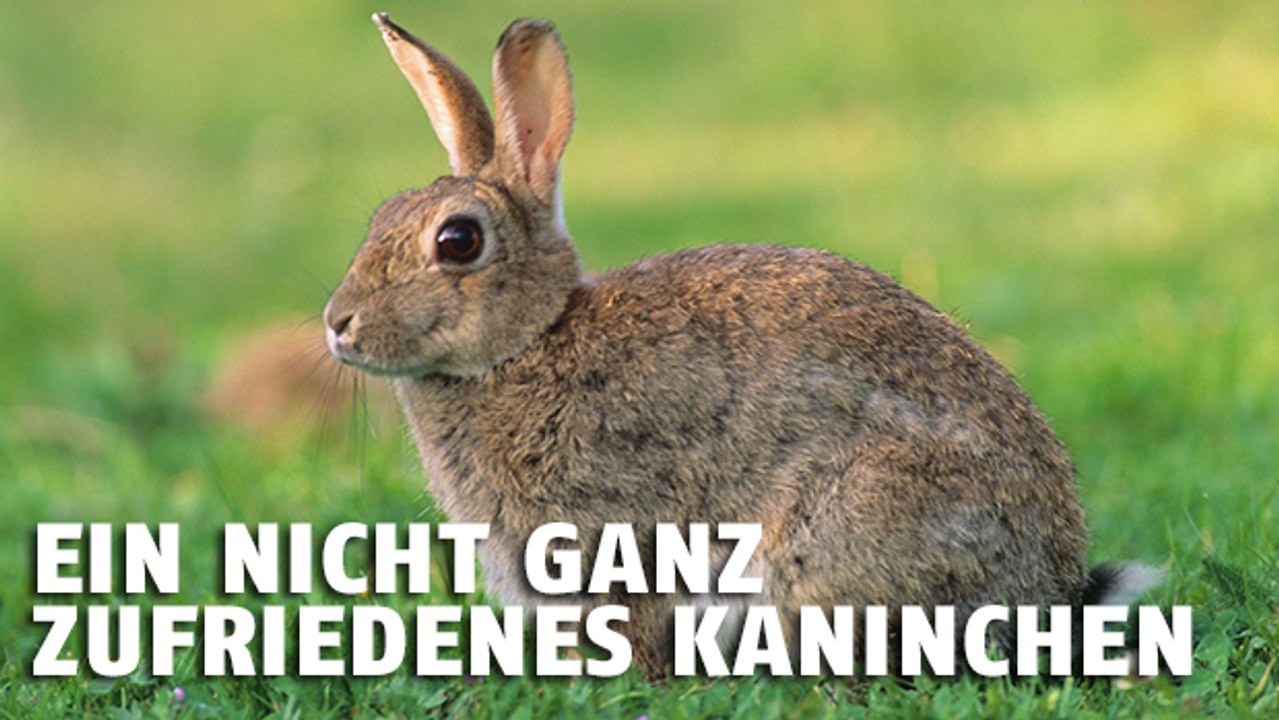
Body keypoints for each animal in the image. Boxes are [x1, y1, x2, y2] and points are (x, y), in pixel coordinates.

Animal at [325, 14, 1152, 679]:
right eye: (379, 218)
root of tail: (1047, 599)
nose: (337, 323)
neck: (529, 342)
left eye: (457, 241)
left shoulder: (619, 536)